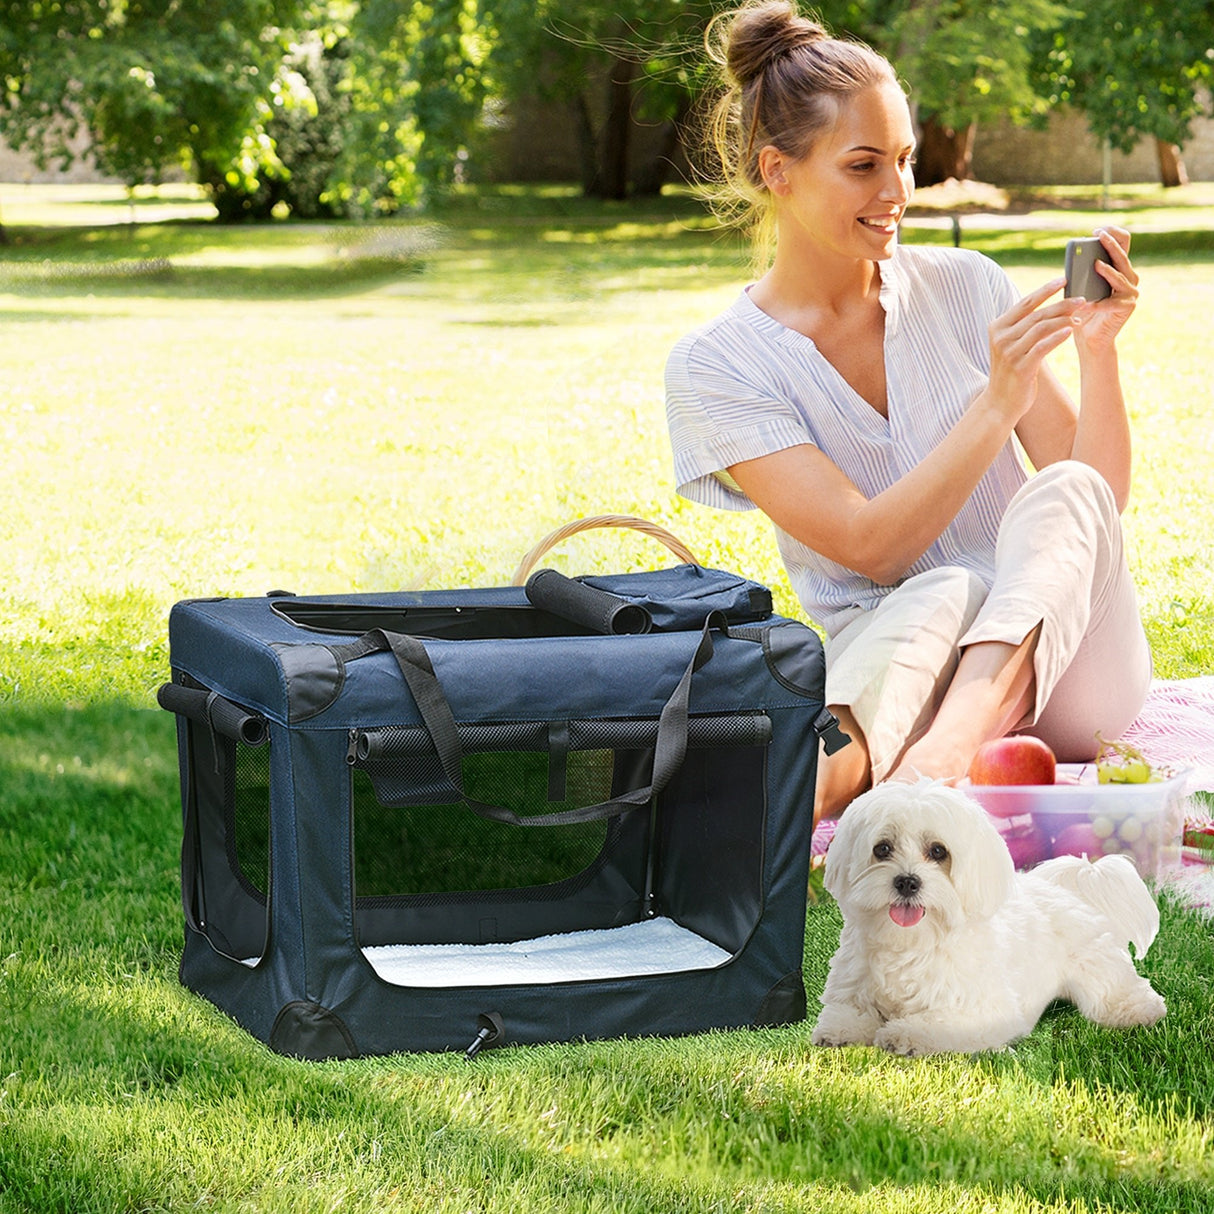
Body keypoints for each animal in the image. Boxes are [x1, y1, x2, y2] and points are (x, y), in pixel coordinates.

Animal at [815, 776, 1165, 1053]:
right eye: (882, 848)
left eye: (938, 851)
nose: (907, 882)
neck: (913, 941)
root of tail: (1075, 883)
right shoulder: (851, 988)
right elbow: (847, 1013)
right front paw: (841, 1030)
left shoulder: (986, 1010)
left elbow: (937, 1022)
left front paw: (903, 1034)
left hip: (1097, 973)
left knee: (1114, 993)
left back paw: (1141, 1010)